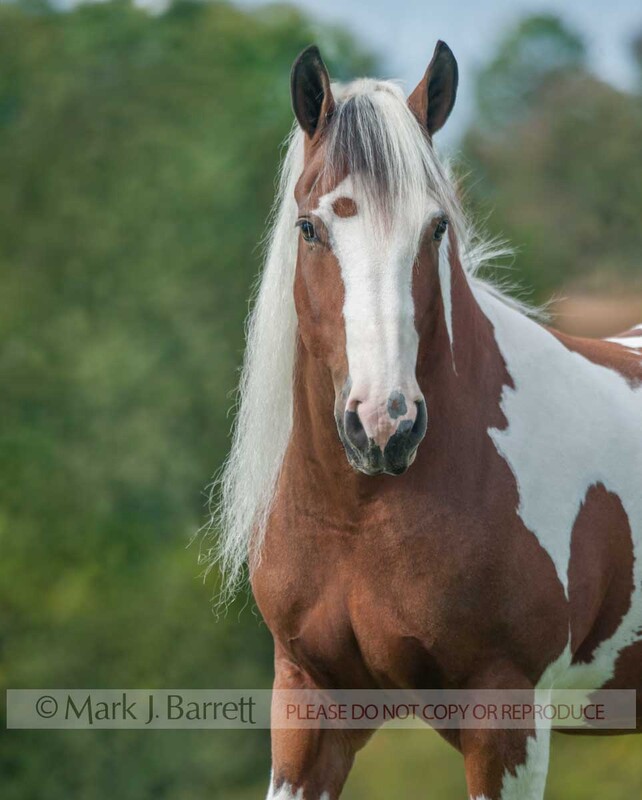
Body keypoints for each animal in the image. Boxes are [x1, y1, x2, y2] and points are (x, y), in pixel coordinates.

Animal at [212, 41, 642, 799]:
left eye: (435, 226)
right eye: (310, 228)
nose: (385, 425)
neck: (360, 514)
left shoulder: (507, 717)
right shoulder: (309, 705)